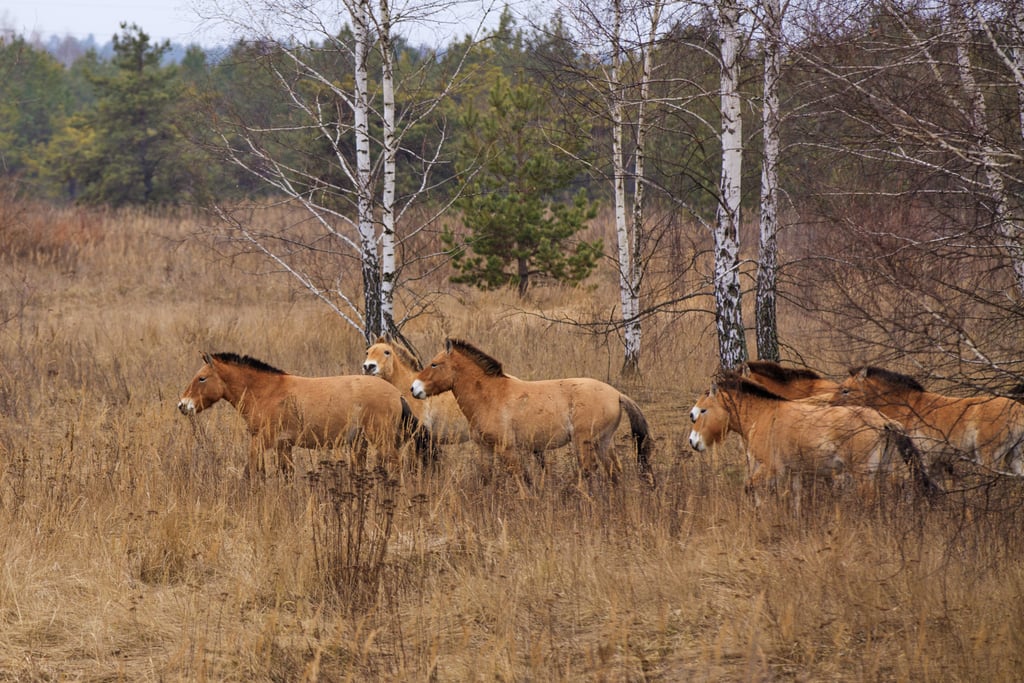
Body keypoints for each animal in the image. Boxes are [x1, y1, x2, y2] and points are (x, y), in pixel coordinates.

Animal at [180, 356, 428, 479]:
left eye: (202, 378)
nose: (183, 405)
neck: (267, 391)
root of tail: (397, 394)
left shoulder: (262, 441)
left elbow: (249, 471)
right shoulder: (283, 445)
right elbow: (286, 474)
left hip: (381, 440)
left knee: (394, 464)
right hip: (360, 442)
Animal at [405, 337, 651, 485]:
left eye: (434, 364)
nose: (414, 388)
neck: (490, 396)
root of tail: (616, 394)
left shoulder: (507, 449)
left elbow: (520, 478)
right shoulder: (485, 449)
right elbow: (487, 478)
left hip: (584, 443)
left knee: (590, 472)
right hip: (603, 442)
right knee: (614, 472)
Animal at [688, 370, 937, 505]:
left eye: (702, 411)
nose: (693, 442)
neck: (765, 414)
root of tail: (883, 421)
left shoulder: (771, 468)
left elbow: (751, 488)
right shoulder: (795, 472)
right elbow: (796, 500)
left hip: (863, 475)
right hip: (882, 473)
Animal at [835, 368, 1024, 475]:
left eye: (845, 390)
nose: (831, 405)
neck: (904, 405)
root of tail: (1018, 410)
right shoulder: (935, 462)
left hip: (987, 459)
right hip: (1014, 459)